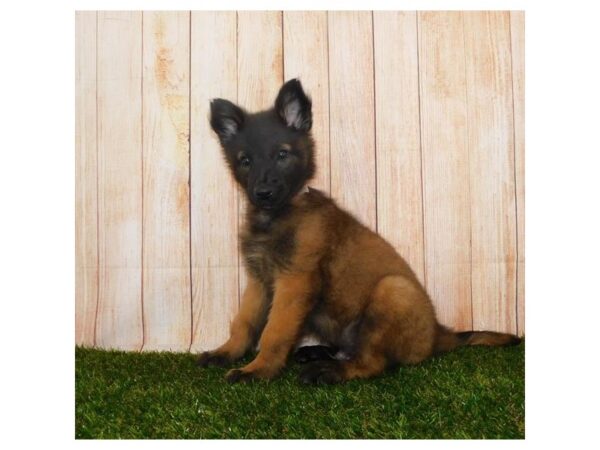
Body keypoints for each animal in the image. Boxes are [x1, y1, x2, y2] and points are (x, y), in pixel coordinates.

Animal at [198, 80, 520, 384]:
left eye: (281, 155)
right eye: (245, 161)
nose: (263, 193)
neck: (276, 215)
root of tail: (438, 335)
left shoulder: (294, 281)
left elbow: (274, 330)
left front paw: (259, 369)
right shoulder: (259, 281)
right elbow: (244, 321)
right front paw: (227, 352)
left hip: (393, 290)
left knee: (371, 362)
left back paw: (328, 371)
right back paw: (317, 352)